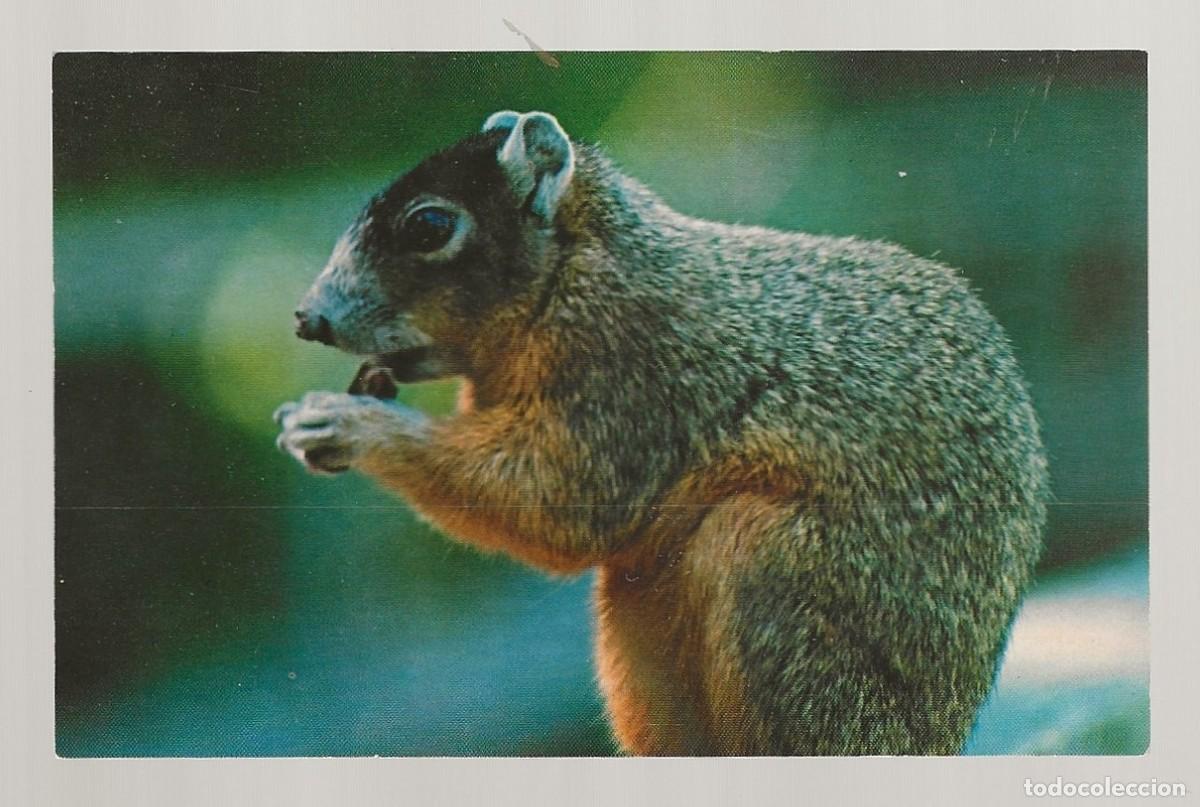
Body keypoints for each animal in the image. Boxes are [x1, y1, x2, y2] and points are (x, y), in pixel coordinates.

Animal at [274, 110, 1049, 755]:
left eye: (430, 226)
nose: (308, 317)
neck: (573, 269)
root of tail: (934, 739)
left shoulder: (630, 366)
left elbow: (562, 505)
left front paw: (349, 423)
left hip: (779, 576)